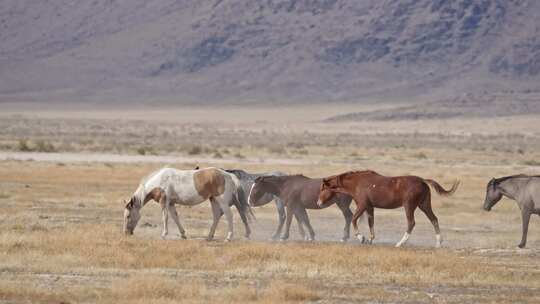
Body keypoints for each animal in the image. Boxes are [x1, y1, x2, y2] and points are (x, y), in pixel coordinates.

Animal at [123, 167, 254, 241]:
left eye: (128, 216)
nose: (126, 233)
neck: (159, 182)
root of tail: (229, 175)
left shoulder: (164, 202)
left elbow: (165, 218)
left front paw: (164, 235)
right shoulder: (171, 204)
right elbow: (175, 217)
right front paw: (183, 235)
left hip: (222, 201)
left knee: (229, 216)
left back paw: (228, 237)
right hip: (213, 200)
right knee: (217, 216)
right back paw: (209, 237)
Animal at [316, 170, 460, 248]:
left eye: (323, 188)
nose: (318, 202)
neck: (357, 183)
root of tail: (423, 181)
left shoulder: (362, 205)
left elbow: (354, 220)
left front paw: (361, 238)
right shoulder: (370, 207)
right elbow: (371, 223)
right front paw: (369, 240)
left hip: (409, 206)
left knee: (411, 223)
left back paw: (400, 243)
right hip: (424, 205)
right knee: (434, 219)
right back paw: (438, 243)